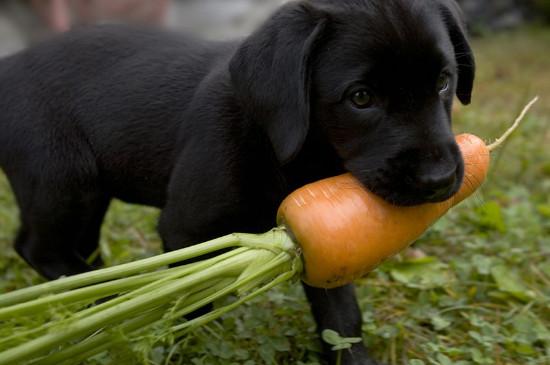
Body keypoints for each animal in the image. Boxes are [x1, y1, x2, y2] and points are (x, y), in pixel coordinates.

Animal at [0, 1, 474, 362]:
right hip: (61, 178)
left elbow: (341, 315)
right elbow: (191, 302)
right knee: (37, 247)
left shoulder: (320, 237)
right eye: (361, 98)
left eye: (443, 82)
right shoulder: (185, 230)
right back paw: (104, 301)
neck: (281, 145)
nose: (439, 178)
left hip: (89, 188)